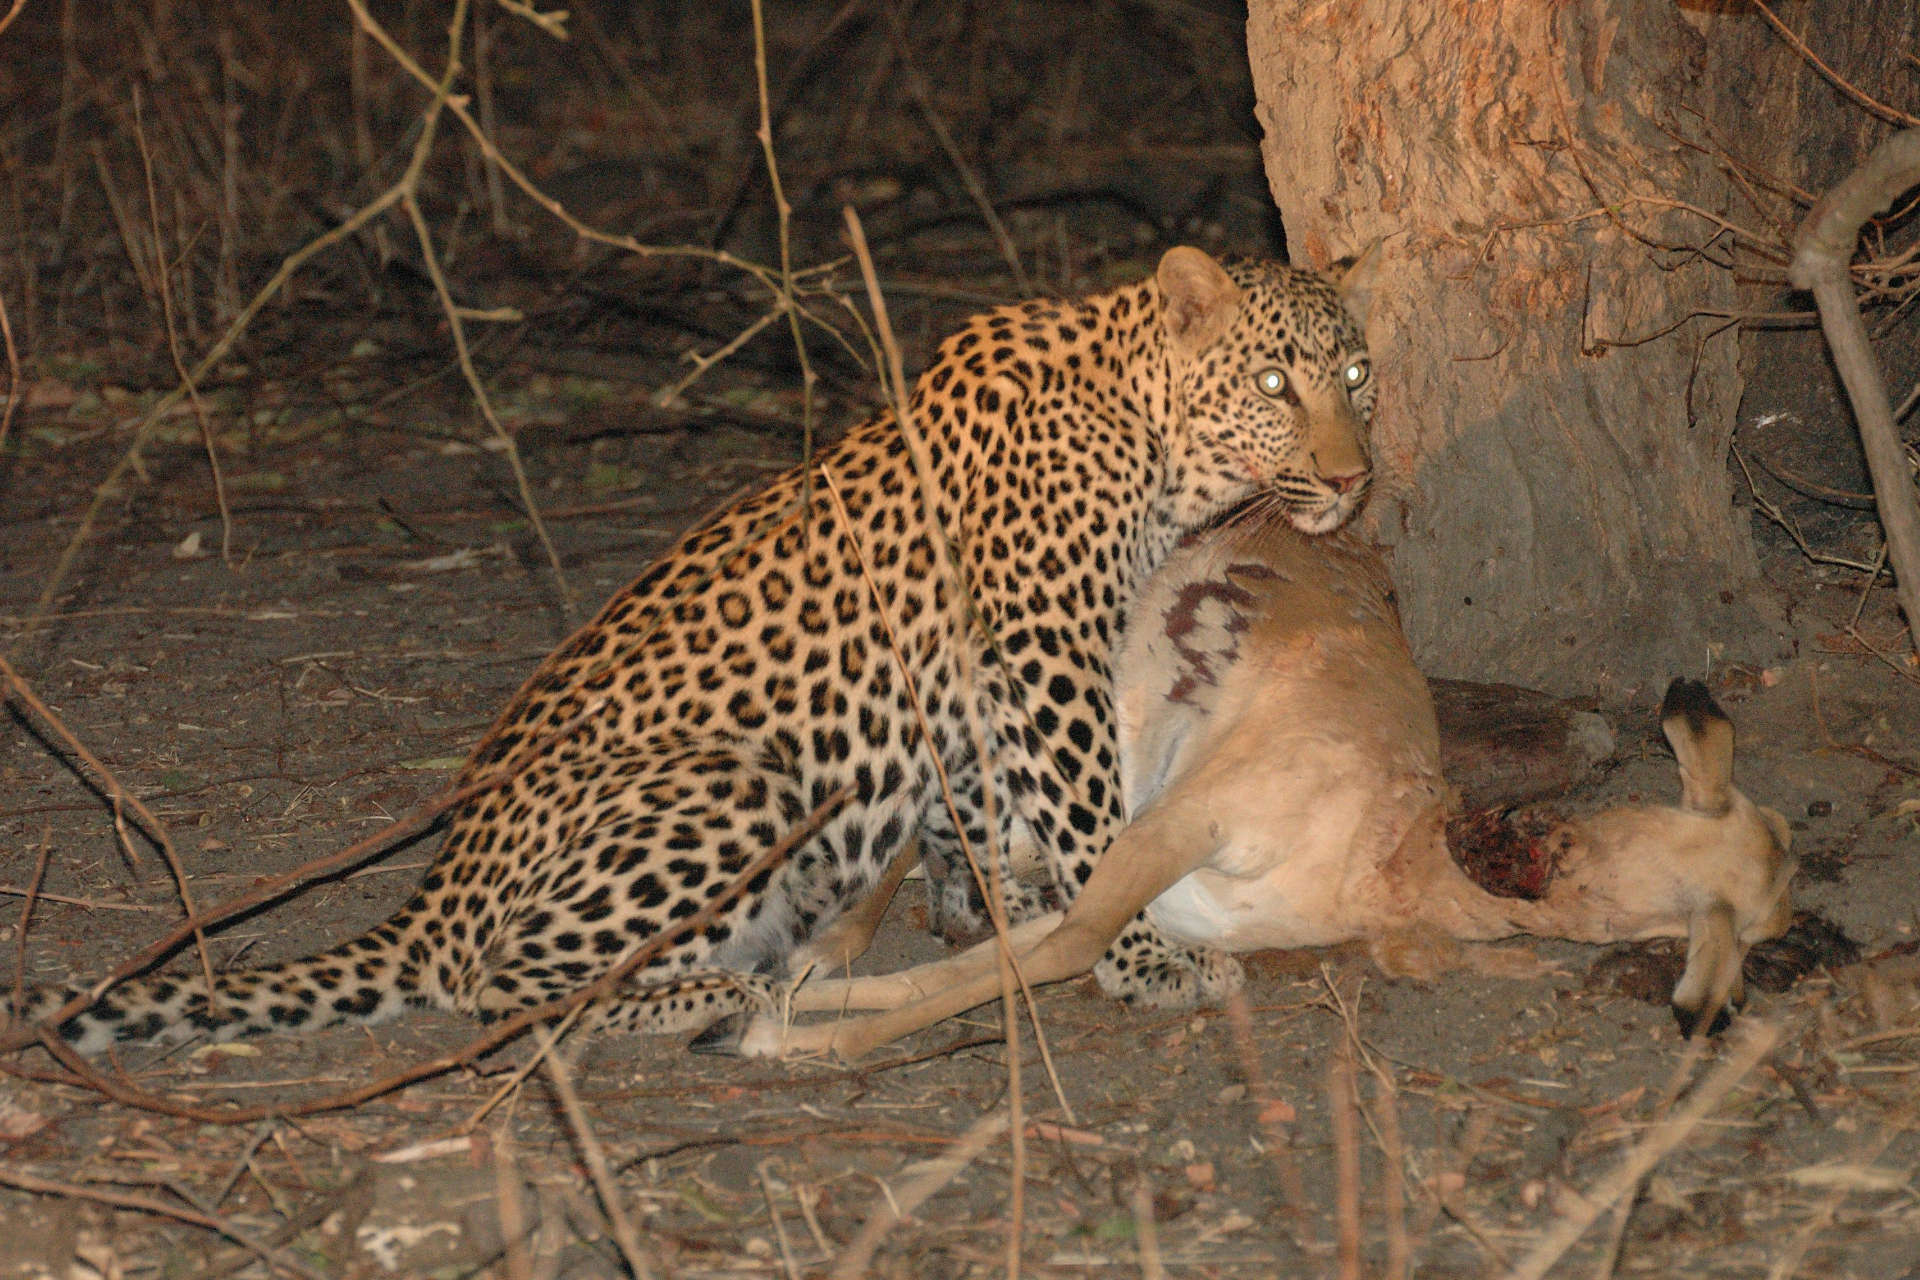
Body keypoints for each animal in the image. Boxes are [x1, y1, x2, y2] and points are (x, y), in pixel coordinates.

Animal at [19, 244, 1378, 1054]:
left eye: (1358, 372)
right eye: (1273, 381)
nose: (1354, 480)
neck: (1150, 435)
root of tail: (439, 889)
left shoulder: (980, 677)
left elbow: (991, 803)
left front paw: (1008, 904)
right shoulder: (1042, 638)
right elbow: (1089, 806)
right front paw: (1135, 951)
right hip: (733, 780)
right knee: (506, 985)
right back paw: (737, 993)